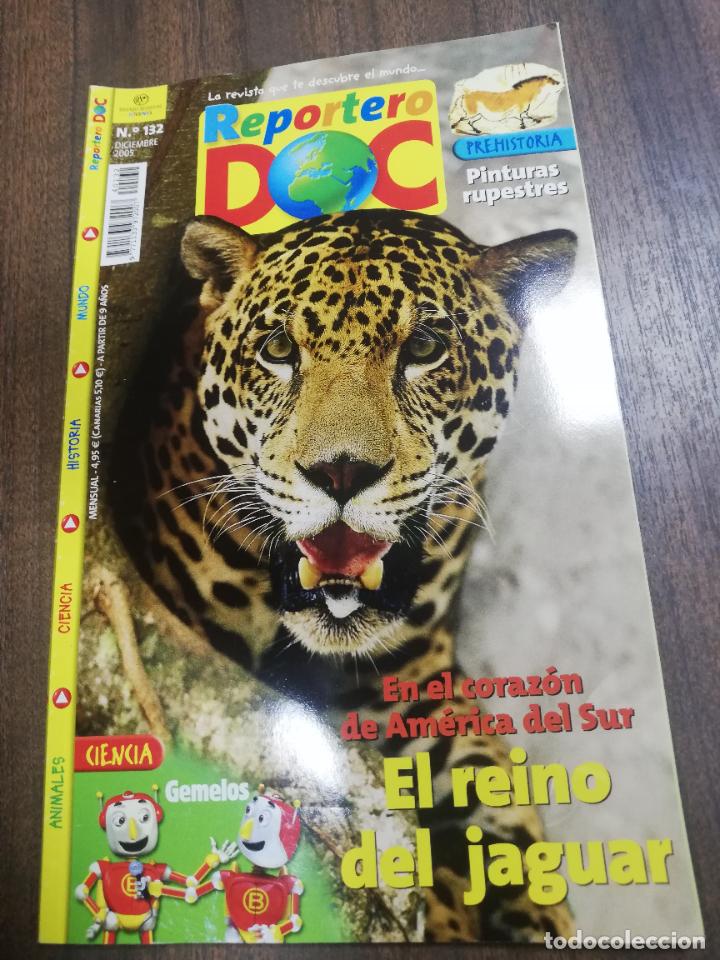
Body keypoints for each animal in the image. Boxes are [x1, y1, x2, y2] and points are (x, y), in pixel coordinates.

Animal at [112, 208, 577, 943]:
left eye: (424, 347)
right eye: (278, 347)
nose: (339, 472)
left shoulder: (419, 683)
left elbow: (497, 795)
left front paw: (531, 904)